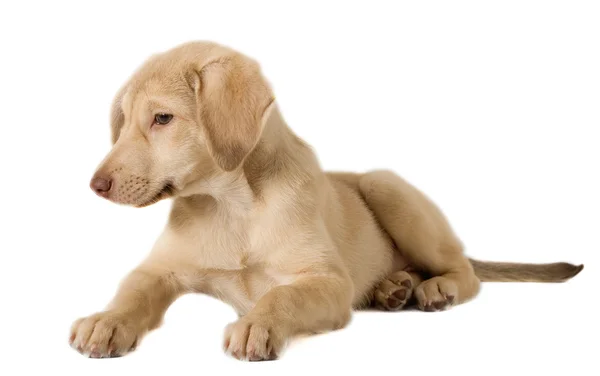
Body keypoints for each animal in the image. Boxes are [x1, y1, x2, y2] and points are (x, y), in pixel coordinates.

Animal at [69, 39, 580, 360]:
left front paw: (258, 324)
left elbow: (283, 296)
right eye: (123, 120)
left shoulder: (327, 282)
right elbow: (132, 292)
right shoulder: (158, 270)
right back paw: (394, 288)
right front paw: (107, 321)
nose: (95, 185)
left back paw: (435, 288)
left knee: (467, 272)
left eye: (162, 119)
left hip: (385, 188)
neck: (231, 207)